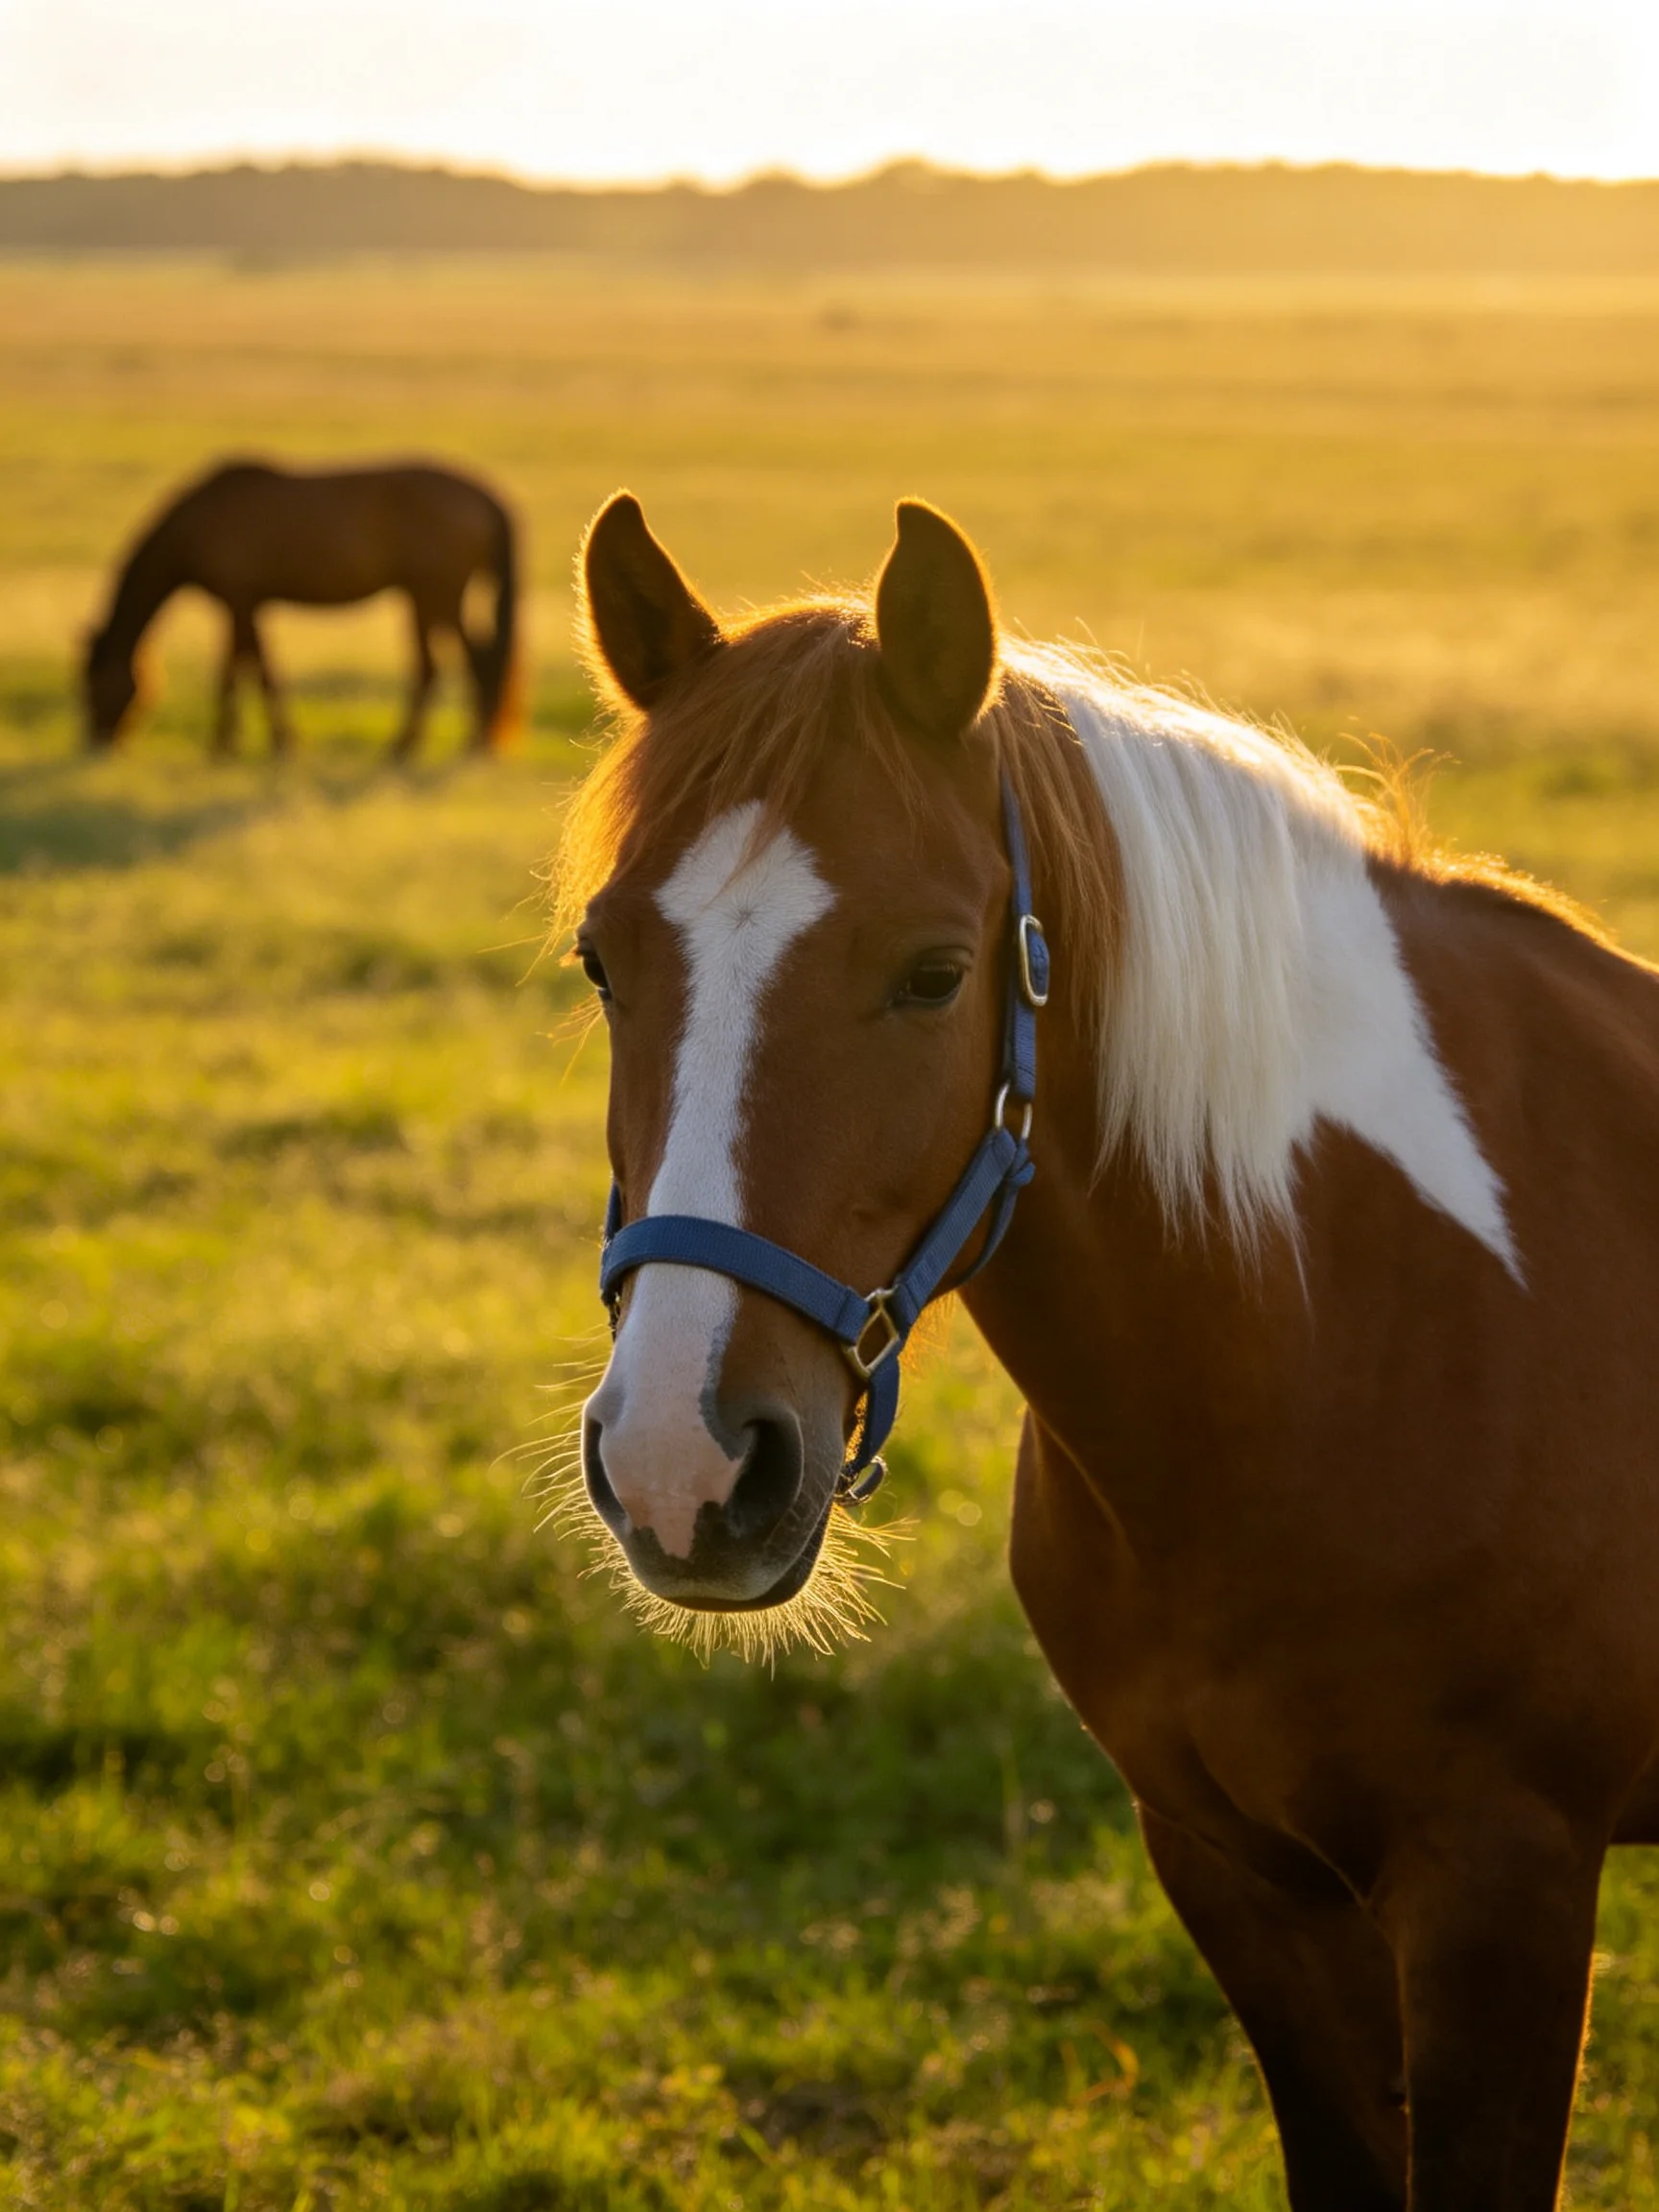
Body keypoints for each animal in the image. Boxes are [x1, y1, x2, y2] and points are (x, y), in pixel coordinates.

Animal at [82, 459, 520, 757]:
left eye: (96, 685)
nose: (98, 742)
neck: (202, 522)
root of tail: (486, 496)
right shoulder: (241, 604)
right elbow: (241, 669)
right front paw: (234, 744)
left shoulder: (241, 601)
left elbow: (254, 671)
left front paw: (267, 744)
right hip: (425, 598)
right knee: (440, 665)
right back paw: (415, 746)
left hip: (438, 595)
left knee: (473, 660)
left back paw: (461, 745)